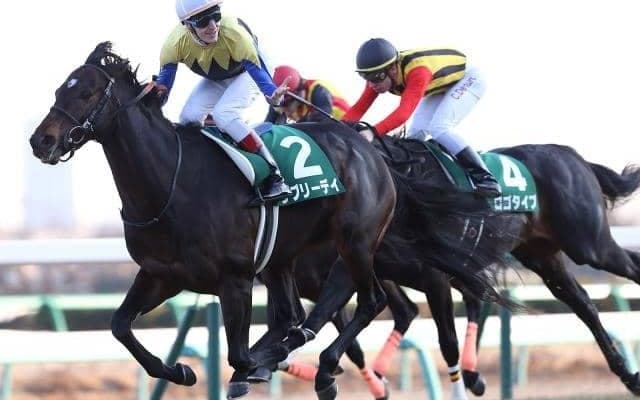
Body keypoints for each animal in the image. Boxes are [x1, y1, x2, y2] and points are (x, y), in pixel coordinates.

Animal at [263, 136, 640, 399]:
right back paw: (627, 374)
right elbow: (319, 318)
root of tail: (572, 156)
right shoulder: (352, 264)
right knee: (585, 306)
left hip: (589, 244)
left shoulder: (434, 278)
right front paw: (289, 365)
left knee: (626, 269)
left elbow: (447, 343)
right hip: (543, 256)